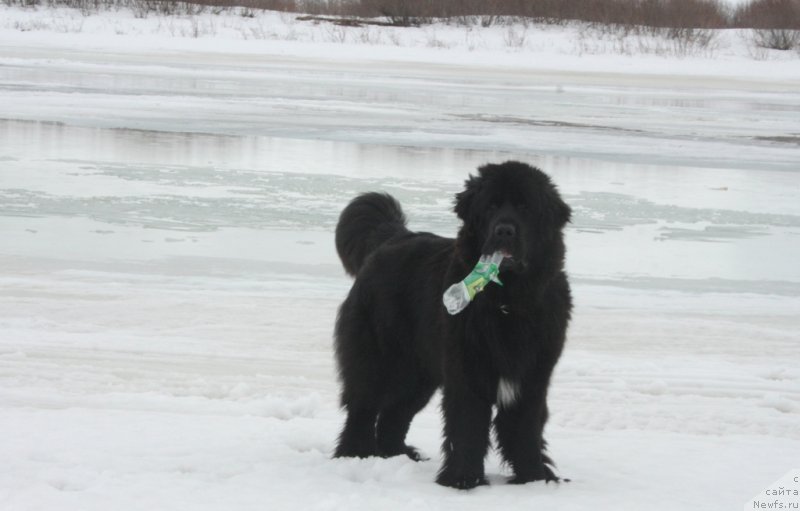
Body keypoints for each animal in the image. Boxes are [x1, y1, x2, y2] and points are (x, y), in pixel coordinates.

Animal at [332, 162, 576, 490]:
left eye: (525, 207)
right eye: (491, 206)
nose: (504, 230)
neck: (507, 303)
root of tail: (393, 238)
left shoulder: (533, 376)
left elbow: (526, 429)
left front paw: (535, 479)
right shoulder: (467, 370)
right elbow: (468, 425)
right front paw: (463, 480)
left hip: (419, 373)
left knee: (394, 415)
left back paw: (399, 455)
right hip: (378, 358)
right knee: (363, 407)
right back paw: (355, 455)